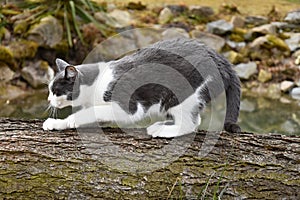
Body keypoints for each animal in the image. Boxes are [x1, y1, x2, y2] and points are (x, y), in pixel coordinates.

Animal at [42, 37, 241, 138]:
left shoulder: (128, 107)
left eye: (56, 91)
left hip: (181, 94)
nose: (48, 99)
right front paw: (58, 123)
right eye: (49, 90)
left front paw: (68, 120)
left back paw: (163, 130)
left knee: (190, 124)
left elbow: (92, 112)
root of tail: (219, 58)